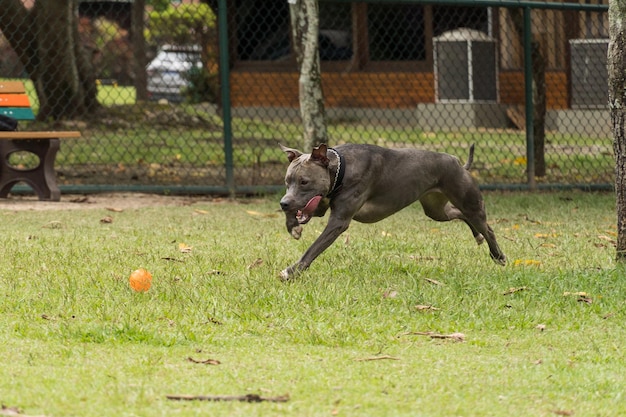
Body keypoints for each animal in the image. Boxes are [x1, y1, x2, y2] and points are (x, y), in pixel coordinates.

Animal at [280, 143, 504, 280]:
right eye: (287, 181)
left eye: (304, 181)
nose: (283, 203)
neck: (339, 170)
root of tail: (457, 161)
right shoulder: (320, 205)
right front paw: (293, 227)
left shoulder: (338, 221)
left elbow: (313, 248)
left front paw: (291, 271)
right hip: (436, 209)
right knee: (460, 214)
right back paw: (477, 236)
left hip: (467, 200)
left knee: (487, 227)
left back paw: (498, 255)